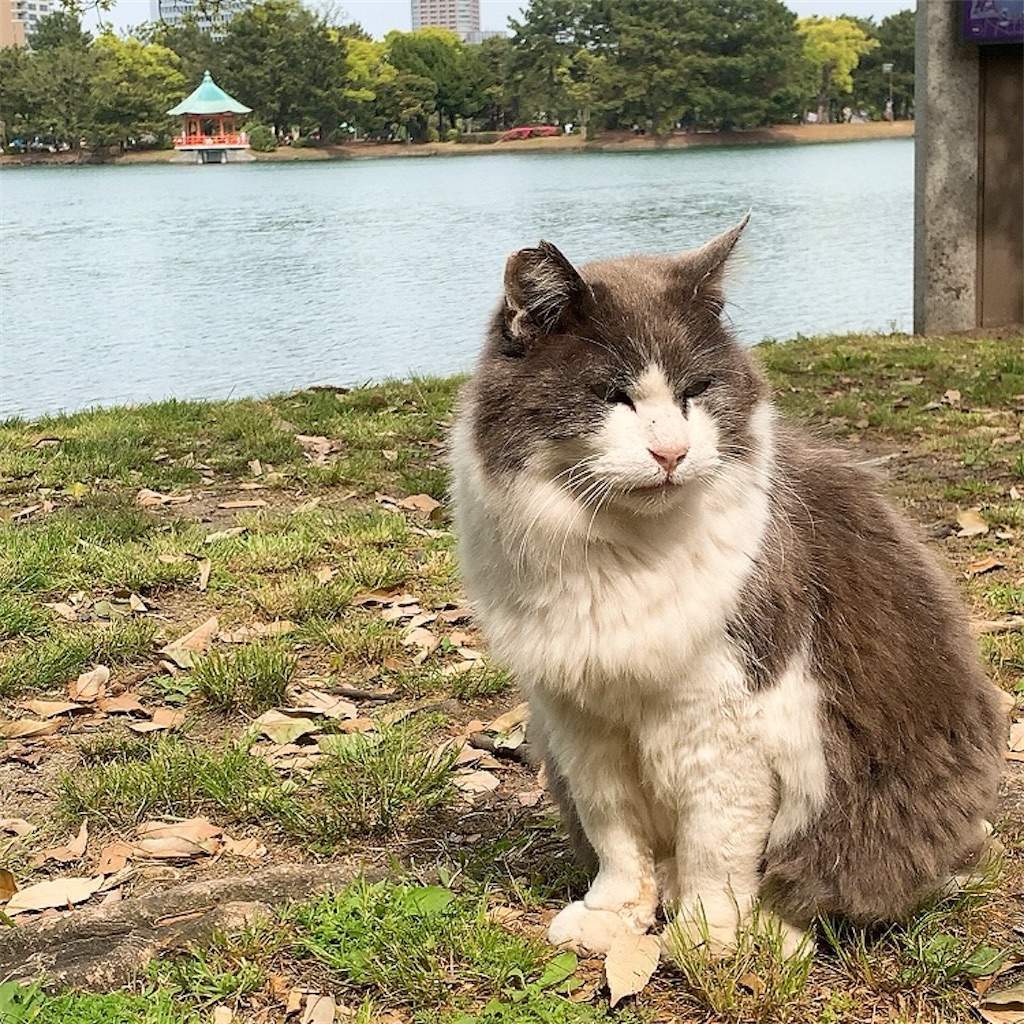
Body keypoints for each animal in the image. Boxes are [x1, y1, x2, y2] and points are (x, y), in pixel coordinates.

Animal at [452, 220, 1003, 954]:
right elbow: (615, 833)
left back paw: (771, 932)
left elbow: (716, 845)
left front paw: (708, 938)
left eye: (696, 390)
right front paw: (614, 914)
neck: (624, 553)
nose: (672, 453)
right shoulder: (580, 718)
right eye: (612, 395)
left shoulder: (723, 717)